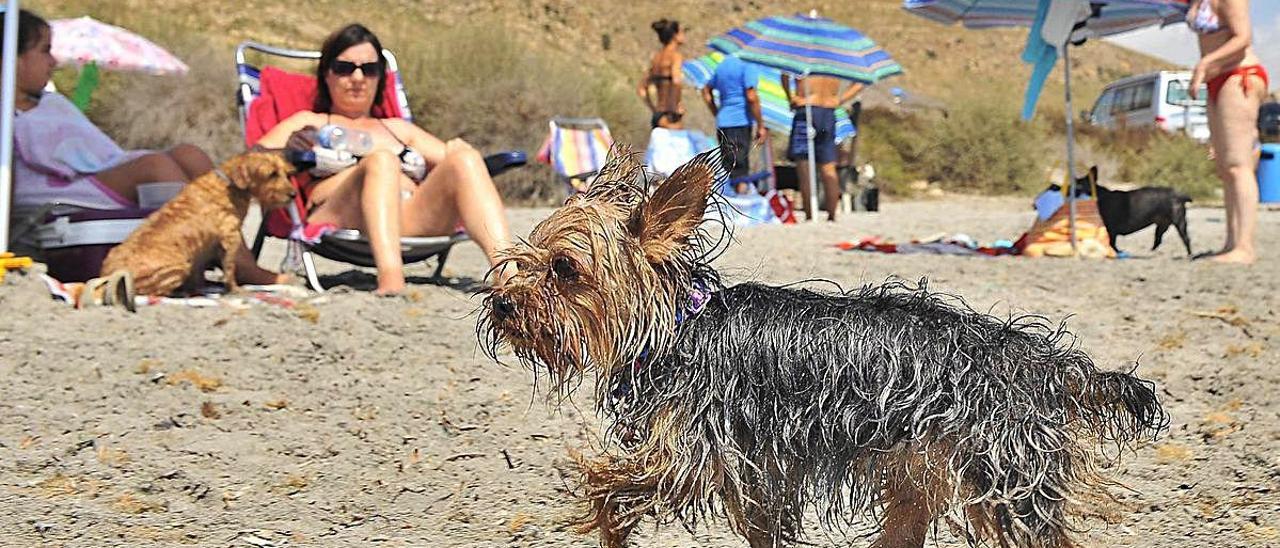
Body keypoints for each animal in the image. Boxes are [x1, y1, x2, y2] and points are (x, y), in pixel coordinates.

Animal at [101, 151, 296, 295]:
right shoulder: (230, 238)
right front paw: (234, 289)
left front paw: (198, 289)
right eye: (272, 174)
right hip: (178, 267)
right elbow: (230, 269)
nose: (293, 194)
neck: (229, 184)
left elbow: (199, 274)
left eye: (286, 173)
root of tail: (107, 278)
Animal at [476, 146, 1167, 548]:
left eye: (564, 269)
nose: (502, 303)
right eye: (526, 255)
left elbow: (605, 485)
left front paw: (608, 524)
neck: (676, 324)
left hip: (1004, 480)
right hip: (921, 475)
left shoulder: (692, 456)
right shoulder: (754, 475)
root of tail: (1040, 362)